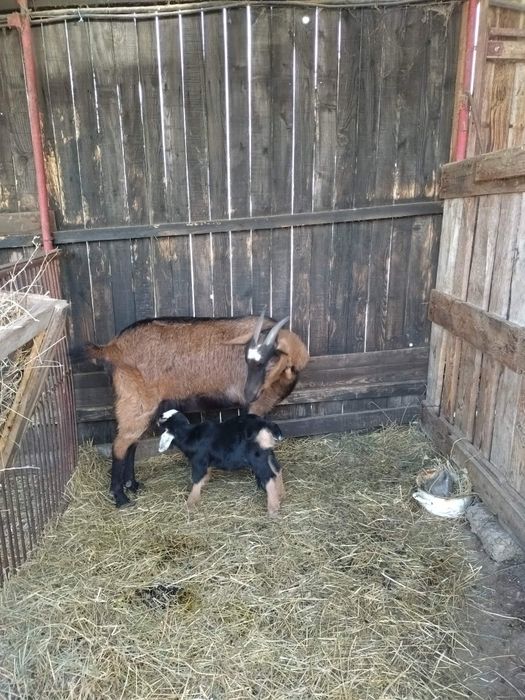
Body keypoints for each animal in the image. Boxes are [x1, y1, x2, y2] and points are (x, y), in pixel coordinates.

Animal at [80, 312, 309, 507]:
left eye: (269, 359)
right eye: (249, 361)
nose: (249, 392)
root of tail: (112, 347)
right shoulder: (255, 406)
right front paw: (260, 480)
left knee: (131, 444)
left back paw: (133, 485)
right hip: (135, 400)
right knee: (120, 445)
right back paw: (120, 497)